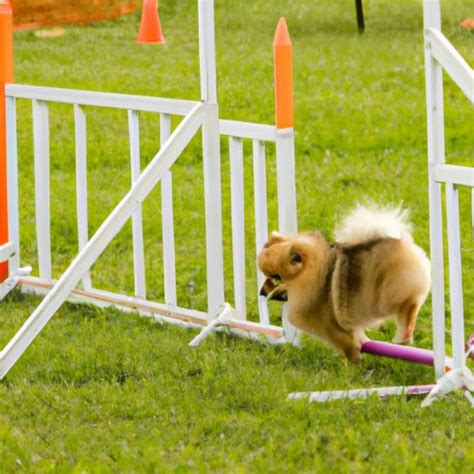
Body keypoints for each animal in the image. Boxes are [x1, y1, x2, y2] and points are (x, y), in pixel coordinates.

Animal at [258, 205, 432, 362]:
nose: (261, 291)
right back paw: (403, 337)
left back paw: (403, 334)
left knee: (409, 307)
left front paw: (354, 359)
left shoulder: (330, 326)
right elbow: (358, 335)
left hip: (388, 295)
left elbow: (344, 342)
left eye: (275, 277)